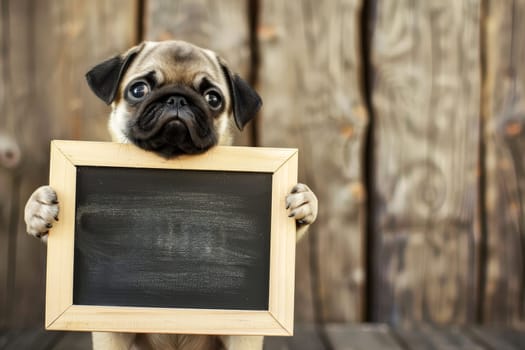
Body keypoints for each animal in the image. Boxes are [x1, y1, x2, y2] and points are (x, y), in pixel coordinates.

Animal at [24, 39, 318, 348]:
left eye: (213, 98)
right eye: (138, 90)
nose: (177, 99)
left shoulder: (242, 336)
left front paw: (305, 202)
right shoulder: (111, 333)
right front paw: (38, 209)